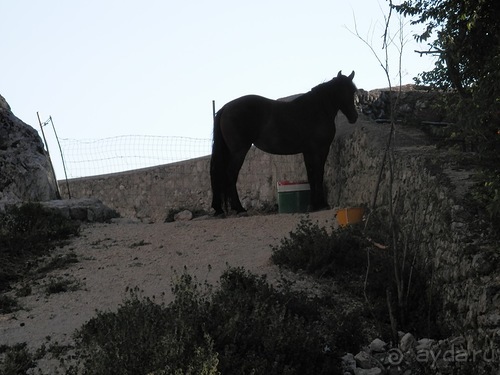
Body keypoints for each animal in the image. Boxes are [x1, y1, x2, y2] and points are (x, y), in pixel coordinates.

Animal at [209, 71, 358, 217]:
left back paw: (220, 209)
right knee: (231, 174)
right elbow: (318, 174)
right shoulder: (319, 149)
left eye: (353, 91)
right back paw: (239, 209)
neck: (316, 110)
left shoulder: (308, 151)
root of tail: (226, 108)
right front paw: (321, 204)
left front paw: (313, 205)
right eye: (342, 91)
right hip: (239, 151)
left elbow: (311, 175)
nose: (354, 117)